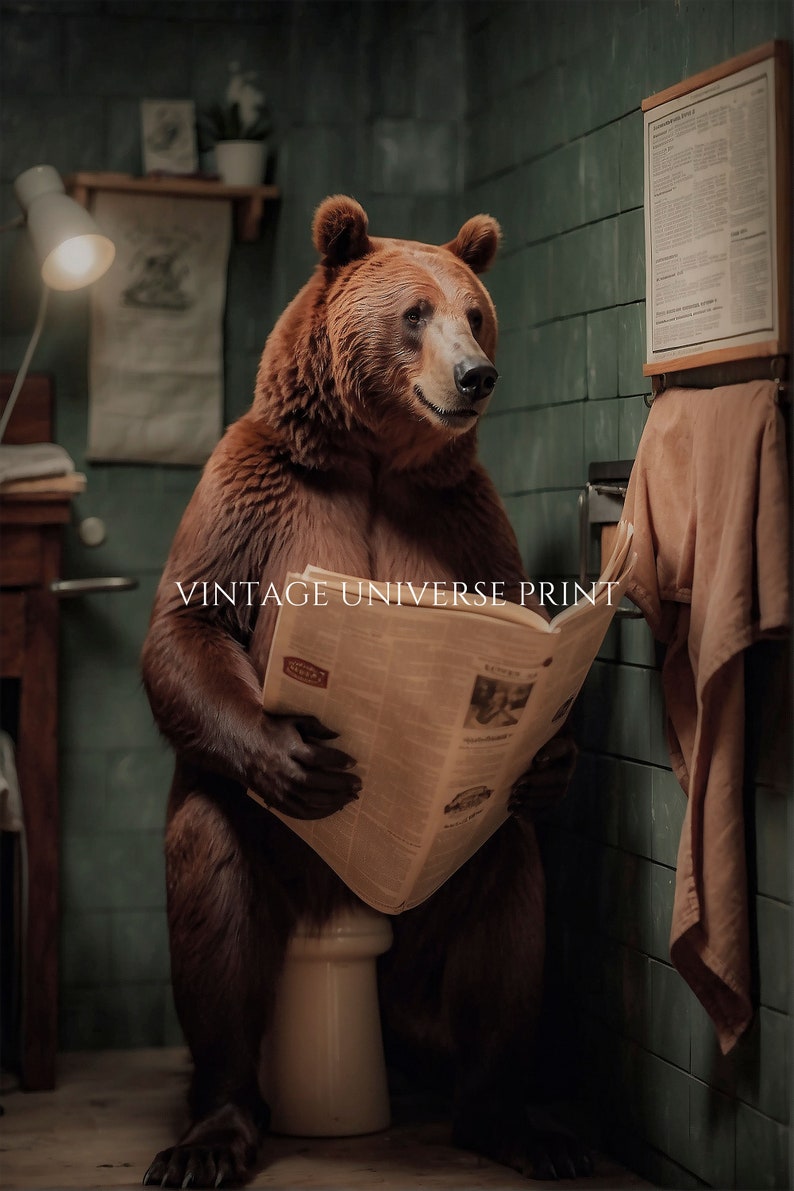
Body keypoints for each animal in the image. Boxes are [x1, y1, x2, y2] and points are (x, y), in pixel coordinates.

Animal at [140, 195, 587, 1188]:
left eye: (476, 312)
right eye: (416, 313)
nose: (475, 376)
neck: (378, 459)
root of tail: (347, 904)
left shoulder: (462, 515)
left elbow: (516, 617)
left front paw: (547, 754)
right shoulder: (257, 488)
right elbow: (187, 626)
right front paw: (300, 758)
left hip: (436, 892)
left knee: (508, 885)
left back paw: (514, 1121)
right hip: (276, 852)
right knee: (214, 887)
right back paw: (212, 1130)